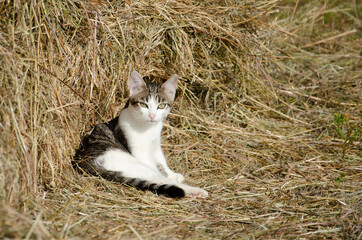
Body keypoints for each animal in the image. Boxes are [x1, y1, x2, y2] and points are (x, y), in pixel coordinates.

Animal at [73, 70, 209, 198]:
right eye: (143, 105)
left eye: (161, 106)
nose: (152, 116)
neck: (148, 128)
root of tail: (83, 163)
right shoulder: (140, 153)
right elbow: (158, 169)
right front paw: (171, 177)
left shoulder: (155, 146)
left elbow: (162, 162)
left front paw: (172, 174)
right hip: (131, 162)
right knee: (158, 178)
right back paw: (196, 191)